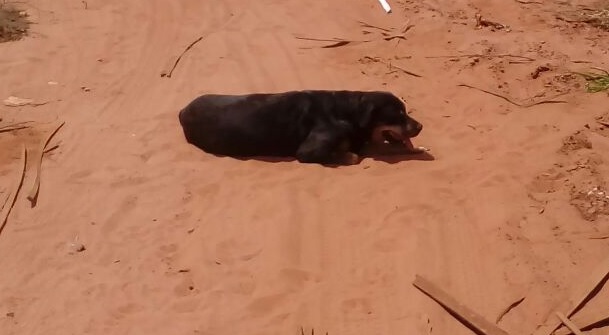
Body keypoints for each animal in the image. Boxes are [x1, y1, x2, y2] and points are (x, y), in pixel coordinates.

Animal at [177, 90, 428, 166]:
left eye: (405, 111)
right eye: (398, 114)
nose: (420, 126)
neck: (349, 113)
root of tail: (182, 110)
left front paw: (420, 148)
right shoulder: (308, 151)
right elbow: (353, 155)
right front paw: (349, 155)